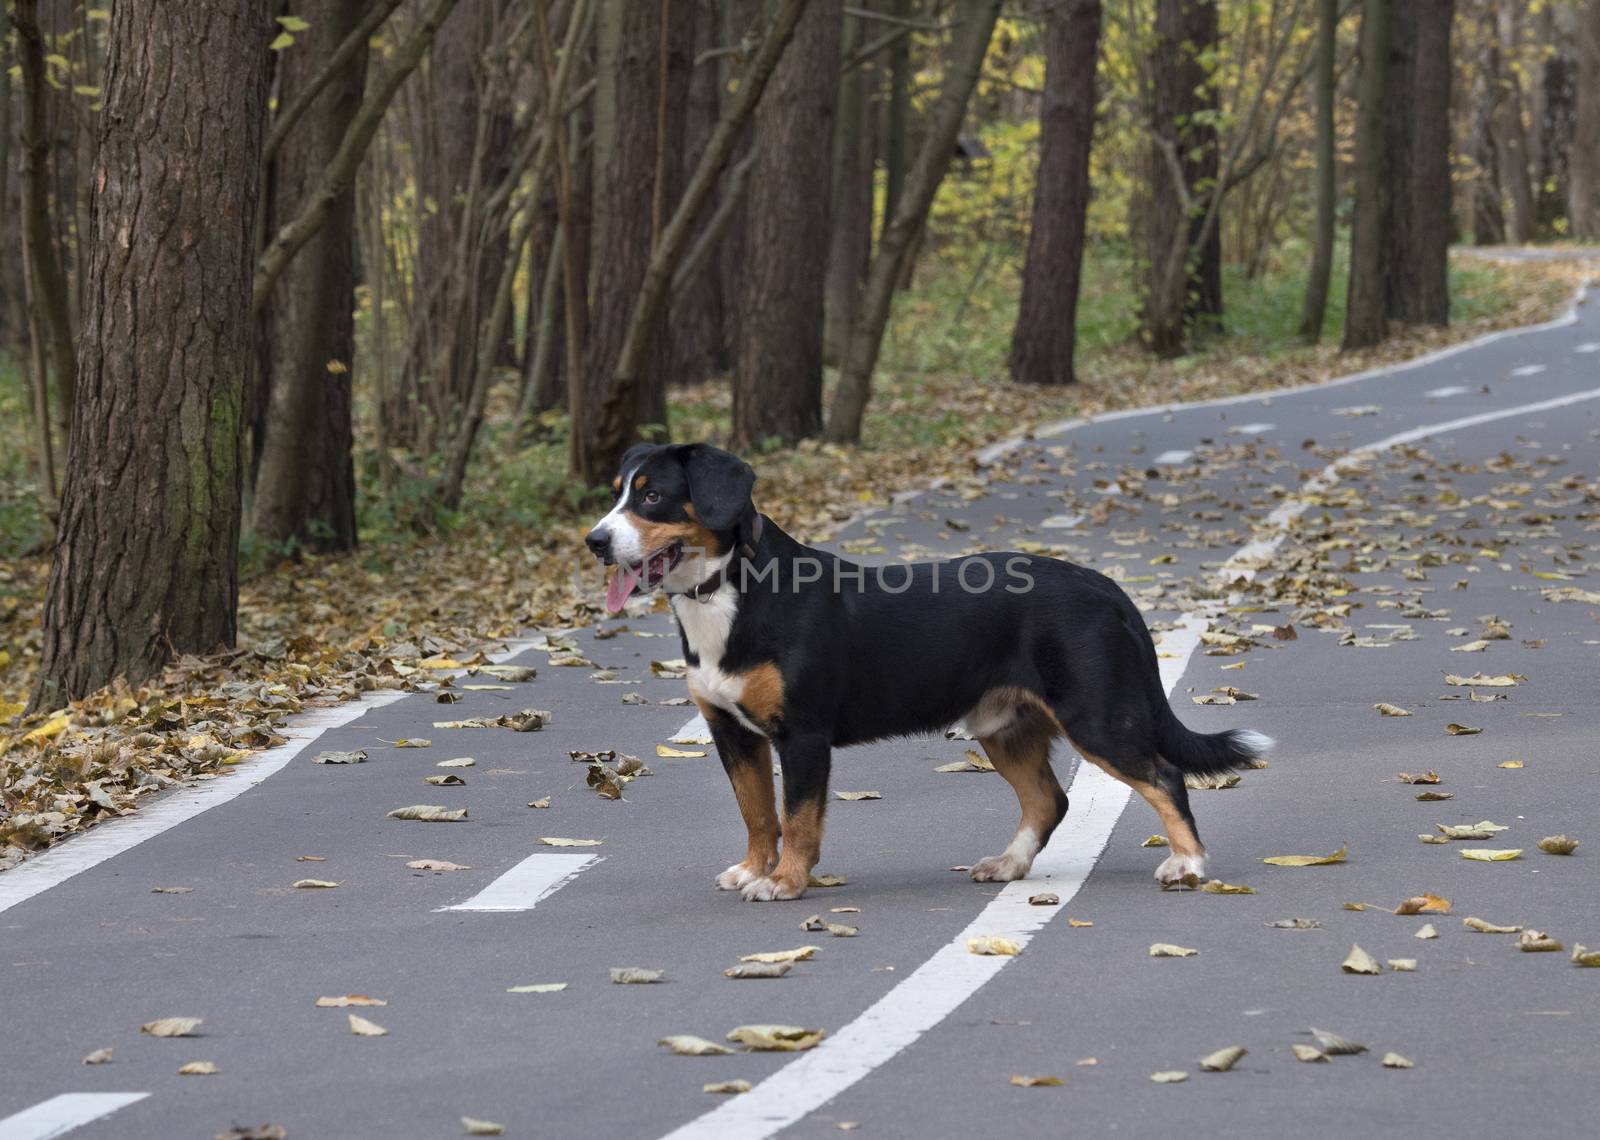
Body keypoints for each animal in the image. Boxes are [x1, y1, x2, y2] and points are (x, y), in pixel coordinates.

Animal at [588, 441, 1273, 896]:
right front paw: (755, 869)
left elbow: (798, 817)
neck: (727, 593)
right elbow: (757, 812)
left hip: (1098, 716)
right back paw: (1008, 864)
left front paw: (785, 881)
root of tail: (1106, 587)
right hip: (1004, 726)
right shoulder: (732, 732)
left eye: (652, 495)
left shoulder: (803, 734)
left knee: (1164, 776)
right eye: (617, 492)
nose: (594, 541)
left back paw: (1188, 864)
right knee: (1048, 801)